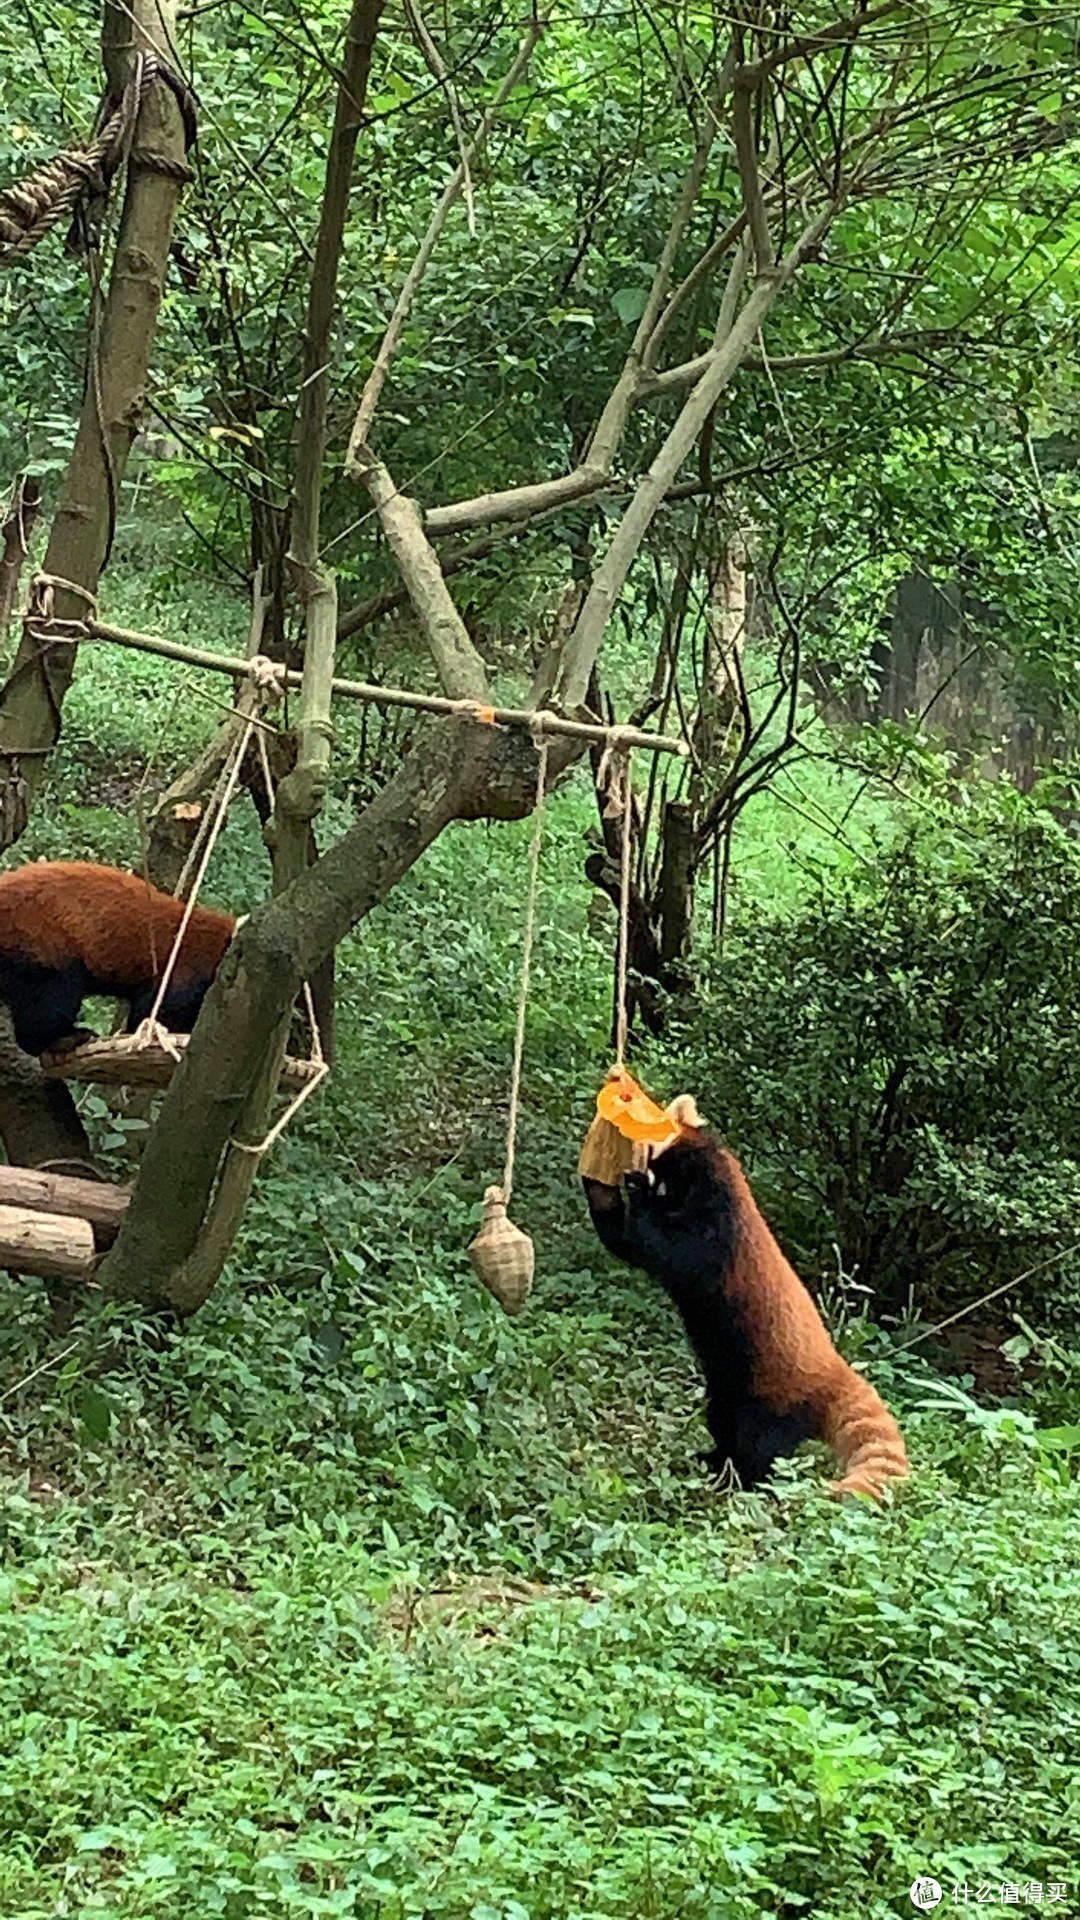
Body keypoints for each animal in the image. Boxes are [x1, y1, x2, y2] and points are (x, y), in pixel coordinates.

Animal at [584, 1098, 903, 1497]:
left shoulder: (717, 1230)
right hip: (727, 1387)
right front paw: (598, 1188)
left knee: (760, 1447)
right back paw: (713, 1461)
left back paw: (740, 1481)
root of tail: (835, 1371)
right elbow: (628, 1243)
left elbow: (670, 1251)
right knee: (723, 1421)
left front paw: (637, 1192)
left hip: (774, 1398)